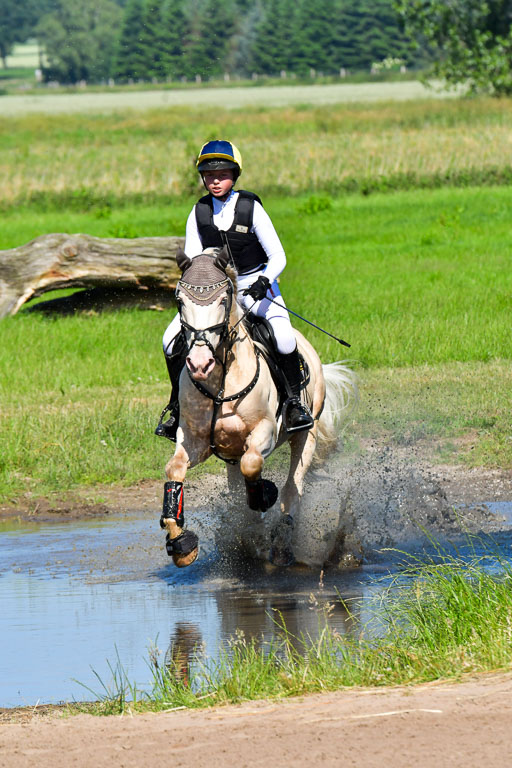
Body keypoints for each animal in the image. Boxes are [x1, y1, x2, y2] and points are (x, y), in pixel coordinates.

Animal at [160, 246, 357, 569]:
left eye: (223, 299)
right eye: (180, 300)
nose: (199, 364)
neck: (221, 381)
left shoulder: (264, 431)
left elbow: (253, 465)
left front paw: (264, 495)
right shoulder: (194, 439)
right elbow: (174, 470)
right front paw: (181, 544)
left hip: (306, 435)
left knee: (292, 488)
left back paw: (282, 544)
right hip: (228, 455)